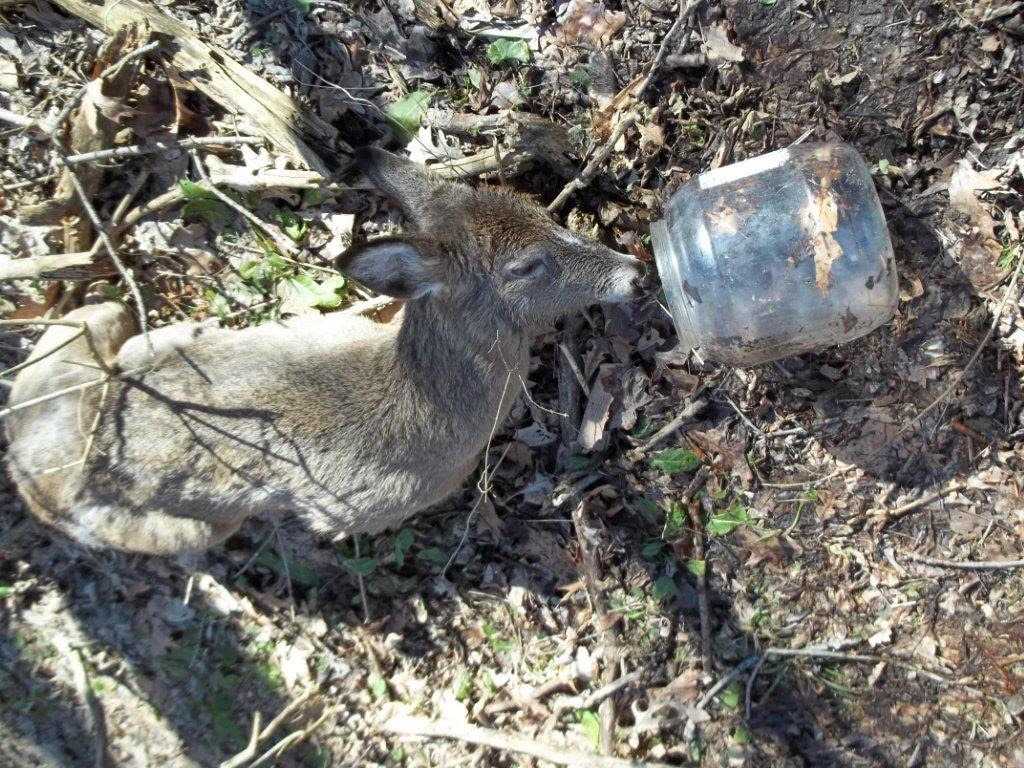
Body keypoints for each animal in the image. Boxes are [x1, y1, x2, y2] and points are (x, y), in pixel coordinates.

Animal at [4, 148, 638, 552]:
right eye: (524, 266)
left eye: (540, 213)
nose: (632, 271)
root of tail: (24, 460)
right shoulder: (372, 504)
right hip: (184, 526)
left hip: (114, 329)